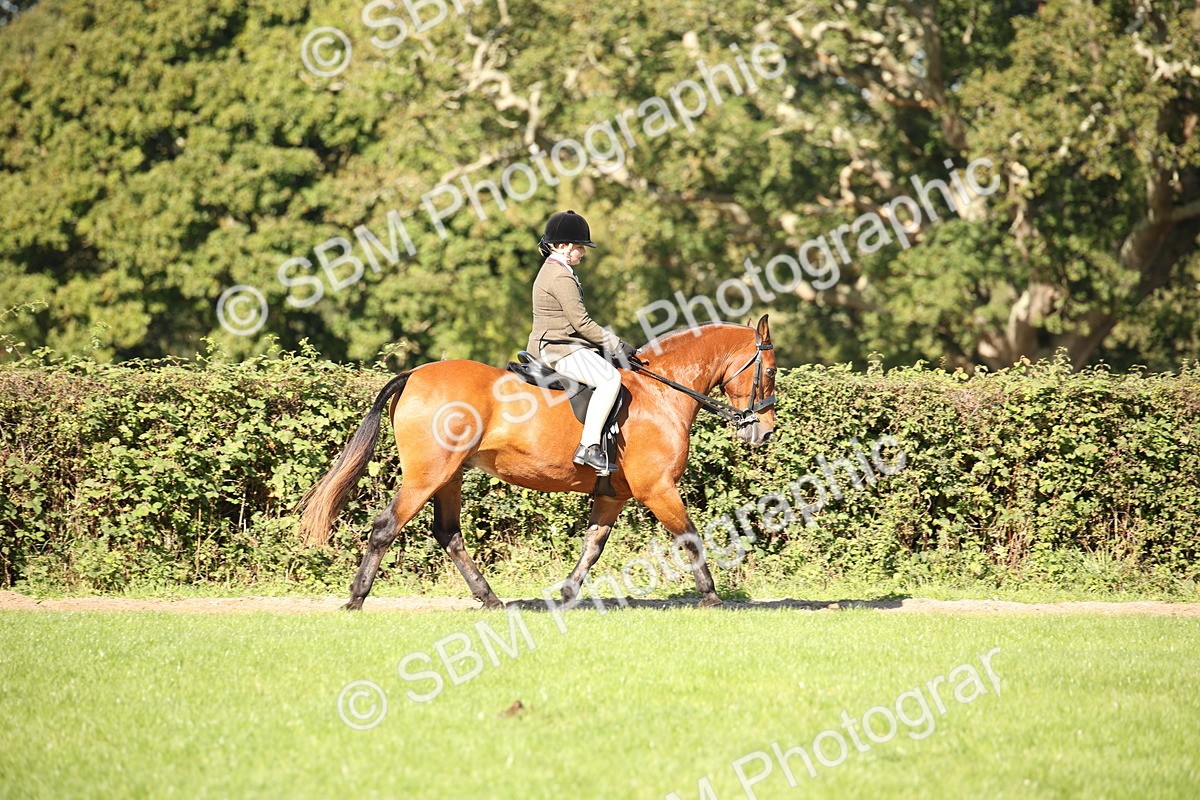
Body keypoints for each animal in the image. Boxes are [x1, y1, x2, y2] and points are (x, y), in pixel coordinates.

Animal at [298, 315, 778, 610]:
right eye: (771, 371)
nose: (766, 432)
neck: (661, 393)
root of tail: (413, 374)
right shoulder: (657, 488)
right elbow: (691, 538)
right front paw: (712, 596)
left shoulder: (614, 495)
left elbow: (592, 547)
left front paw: (565, 594)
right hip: (427, 475)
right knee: (386, 527)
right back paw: (356, 598)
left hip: (449, 477)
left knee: (449, 533)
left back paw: (489, 598)